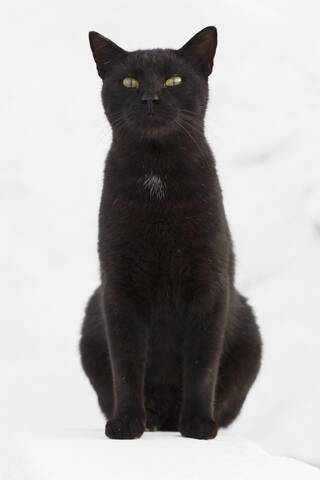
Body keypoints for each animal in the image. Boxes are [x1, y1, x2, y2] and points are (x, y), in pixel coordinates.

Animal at [80, 25, 262, 438]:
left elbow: (201, 364)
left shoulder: (209, 285)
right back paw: (151, 422)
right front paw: (126, 424)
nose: (151, 97)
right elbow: (126, 364)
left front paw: (197, 425)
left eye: (174, 80)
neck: (157, 178)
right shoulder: (119, 286)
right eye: (129, 82)